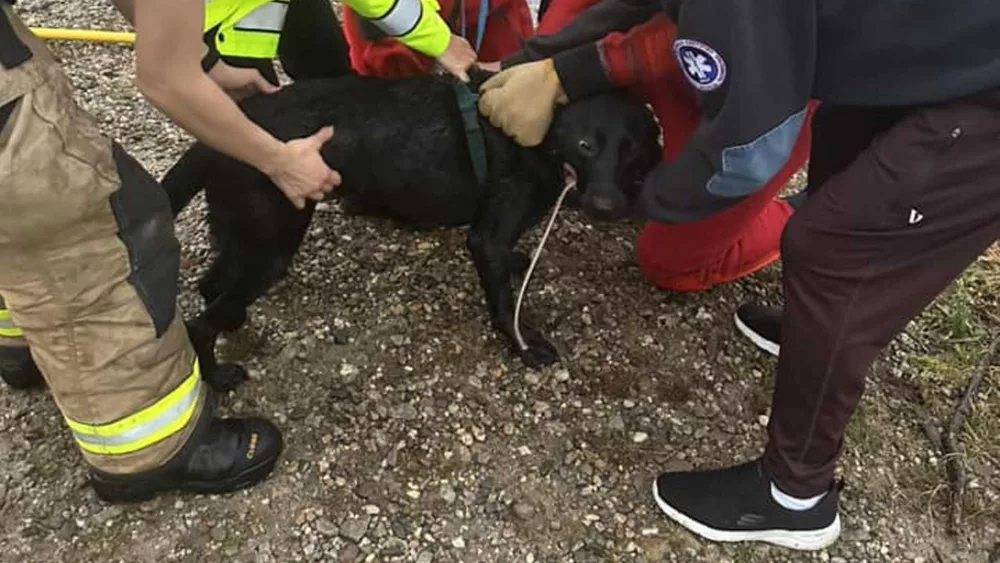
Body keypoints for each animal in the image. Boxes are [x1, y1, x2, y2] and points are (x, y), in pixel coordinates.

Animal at [164, 67, 660, 384]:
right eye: (586, 145)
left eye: (633, 149)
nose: (607, 205)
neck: (539, 136)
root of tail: (215, 139)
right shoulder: (485, 240)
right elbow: (503, 303)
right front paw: (523, 347)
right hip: (272, 246)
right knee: (199, 325)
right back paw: (219, 376)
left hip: (248, 236)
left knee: (212, 286)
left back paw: (234, 320)